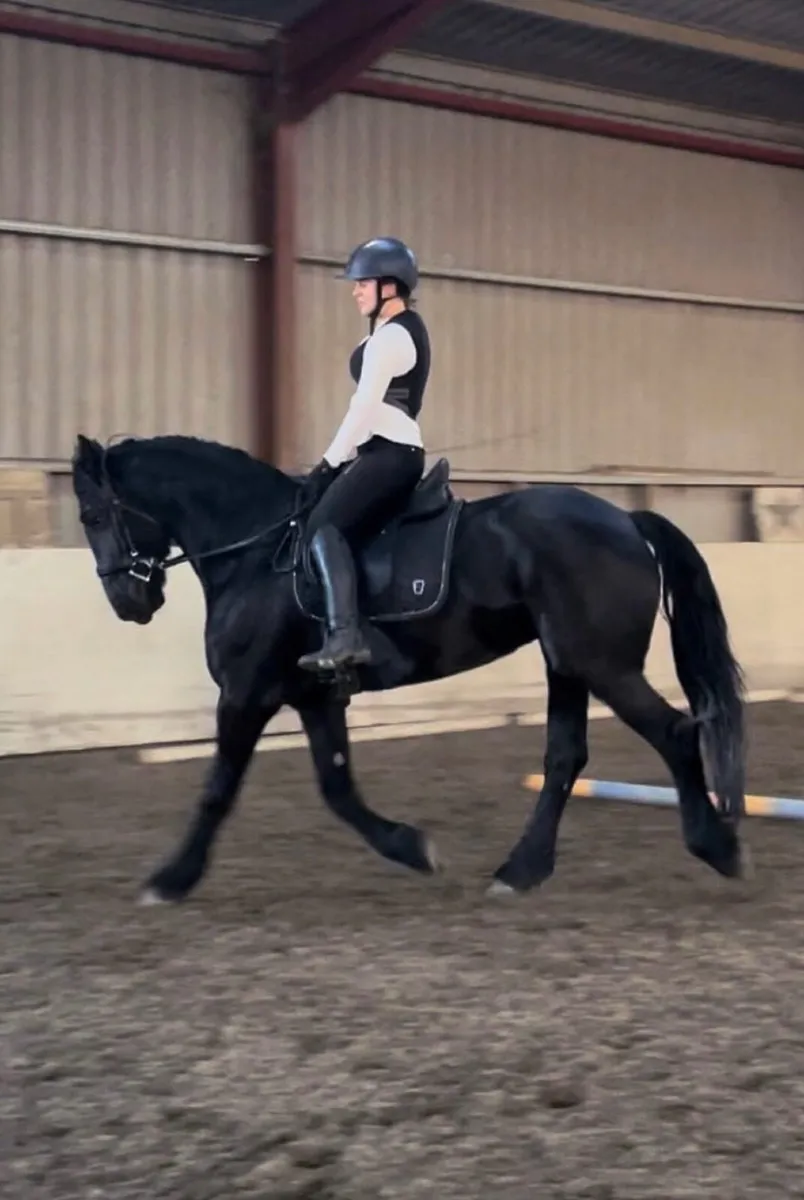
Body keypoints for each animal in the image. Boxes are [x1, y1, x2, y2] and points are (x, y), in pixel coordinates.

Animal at [71, 432, 748, 904]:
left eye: (94, 517)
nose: (128, 603)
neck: (256, 552)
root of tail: (627, 520)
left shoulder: (247, 692)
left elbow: (217, 789)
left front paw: (170, 880)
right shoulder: (314, 695)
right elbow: (338, 789)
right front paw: (414, 848)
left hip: (602, 664)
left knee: (673, 734)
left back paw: (718, 848)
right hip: (569, 664)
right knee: (564, 758)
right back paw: (520, 872)